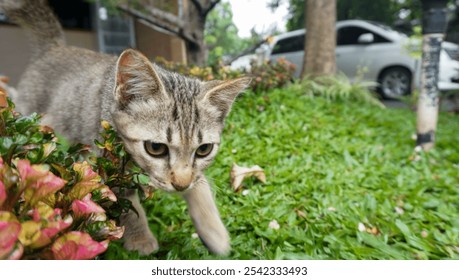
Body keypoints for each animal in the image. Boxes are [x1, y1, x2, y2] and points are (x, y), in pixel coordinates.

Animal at [0, 0, 250, 255]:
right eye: (156, 148)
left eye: (203, 150)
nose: (180, 185)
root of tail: (54, 47)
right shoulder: (106, 159)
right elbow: (124, 201)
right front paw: (140, 239)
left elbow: (199, 183)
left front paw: (214, 231)